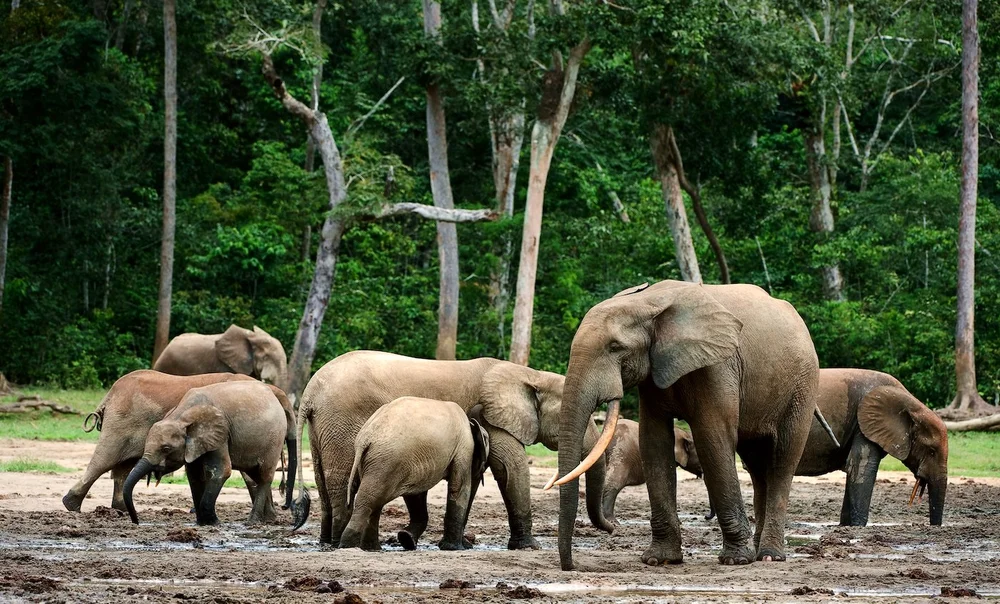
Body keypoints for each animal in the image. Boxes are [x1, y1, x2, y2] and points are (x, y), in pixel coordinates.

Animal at [63, 370, 259, 513]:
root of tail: (110, 395)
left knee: (123, 465)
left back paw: (121, 509)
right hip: (121, 422)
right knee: (105, 460)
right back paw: (72, 505)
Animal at [123, 380, 296, 526]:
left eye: (166, 449)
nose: (136, 522)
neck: (181, 415)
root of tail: (275, 392)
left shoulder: (220, 433)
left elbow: (221, 470)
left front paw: (214, 522)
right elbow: (194, 475)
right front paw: (202, 523)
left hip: (274, 438)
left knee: (264, 475)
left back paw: (252, 522)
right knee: (255, 474)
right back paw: (268, 519)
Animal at [341, 396, 490, 551]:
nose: (468, 545)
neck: (471, 423)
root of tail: (365, 439)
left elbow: (415, 495)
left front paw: (406, 539)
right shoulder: (464, 447)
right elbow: (459, 488)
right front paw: (454, 548)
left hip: (380, 461)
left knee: (374, 501)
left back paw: (372, 548)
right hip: (388, 460)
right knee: (369, 500)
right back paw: (348, 546)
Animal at [551, 280, 819, 569]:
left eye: (614, 347)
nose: (571, 566)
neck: (648, 301)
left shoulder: (718, 365)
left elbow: (712, 438)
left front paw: (735, 560)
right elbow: (653, 441)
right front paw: (659, 560)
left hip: (802, 385)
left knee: (782, 461)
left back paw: (770, 556)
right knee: (757, 466)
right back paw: (760, 551)